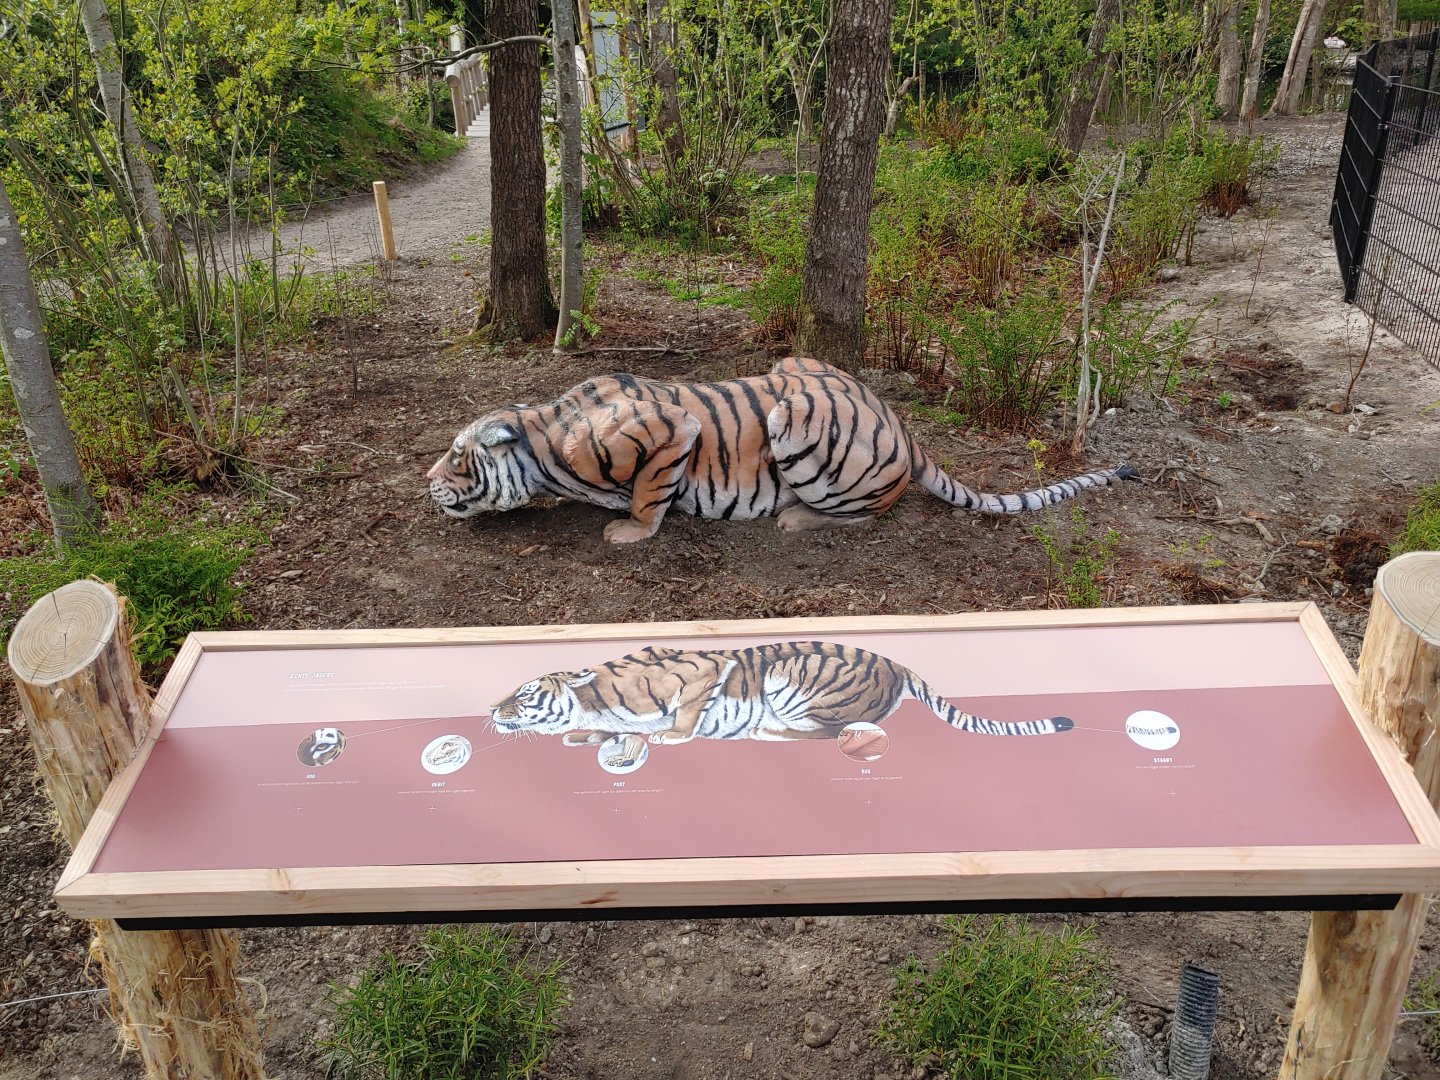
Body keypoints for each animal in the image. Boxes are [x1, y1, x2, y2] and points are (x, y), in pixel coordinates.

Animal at [427, 356, 1137, 543]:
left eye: (459, 457)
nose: (426, 482)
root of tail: (903, 424)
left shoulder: (670, 430)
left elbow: (649, 496)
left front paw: (630, 530)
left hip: (792, 416)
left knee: (872, 512)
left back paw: (796, 517)